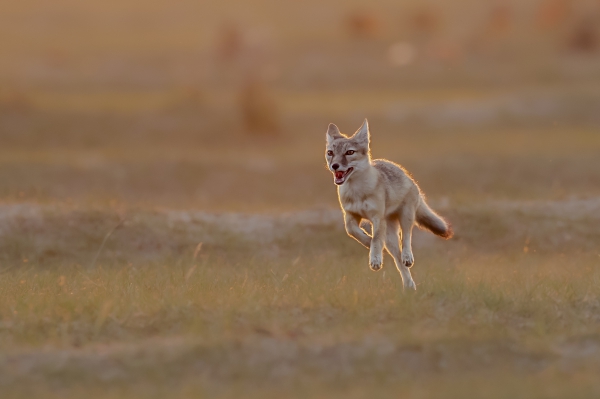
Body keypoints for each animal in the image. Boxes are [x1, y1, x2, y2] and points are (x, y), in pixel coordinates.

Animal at [326, 119, 452, 290]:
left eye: (349, 152)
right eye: (330, 153)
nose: (335, 166)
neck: (357, 192)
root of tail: (406, 174)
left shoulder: (377, 217)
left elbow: (377, 239)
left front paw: (375, 258)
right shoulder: (351, 215)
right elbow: (352, 231)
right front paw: (367, 242)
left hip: (405, 218)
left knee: (406, 239)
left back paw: (407, 257)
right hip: (391, 238)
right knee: (399, 262)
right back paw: (409, 286)